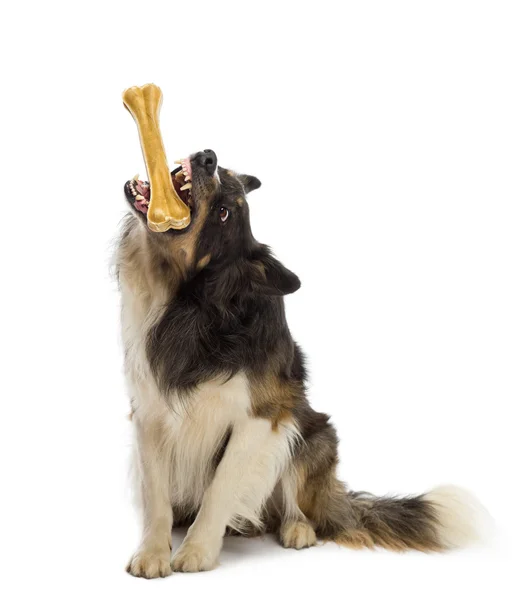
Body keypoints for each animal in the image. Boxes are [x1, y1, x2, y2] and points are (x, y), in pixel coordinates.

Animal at [117, 149, 480, 576]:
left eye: (224, 213)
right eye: (223, 175)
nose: (208, 157)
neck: (194, 306)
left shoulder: (263, 415)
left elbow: (221, 485)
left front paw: (197, 551)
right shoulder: (149, 412)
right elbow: (155, 493)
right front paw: (153, 553)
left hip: (312, 436)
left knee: (300, 505)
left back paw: (297, 528)